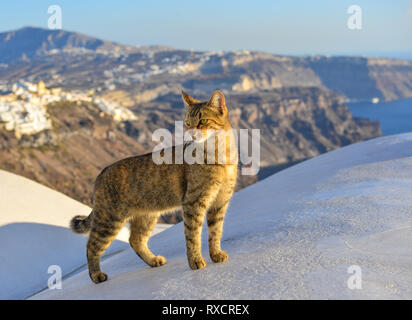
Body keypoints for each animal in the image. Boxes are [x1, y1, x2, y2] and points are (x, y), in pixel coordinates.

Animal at [70, 88, 238, 282]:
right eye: (188, 123)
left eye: (203, 121)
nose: (190, 134)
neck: (220, 154)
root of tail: (100, 174)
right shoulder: (193, 202)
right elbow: (193, 235)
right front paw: (195, 261)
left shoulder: (220, 201)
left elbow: (216, 231)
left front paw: (216, 254)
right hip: (109, 219)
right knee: (91, 245)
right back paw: (96, 275)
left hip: (146, 216)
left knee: (135, 240)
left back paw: (152, 260)